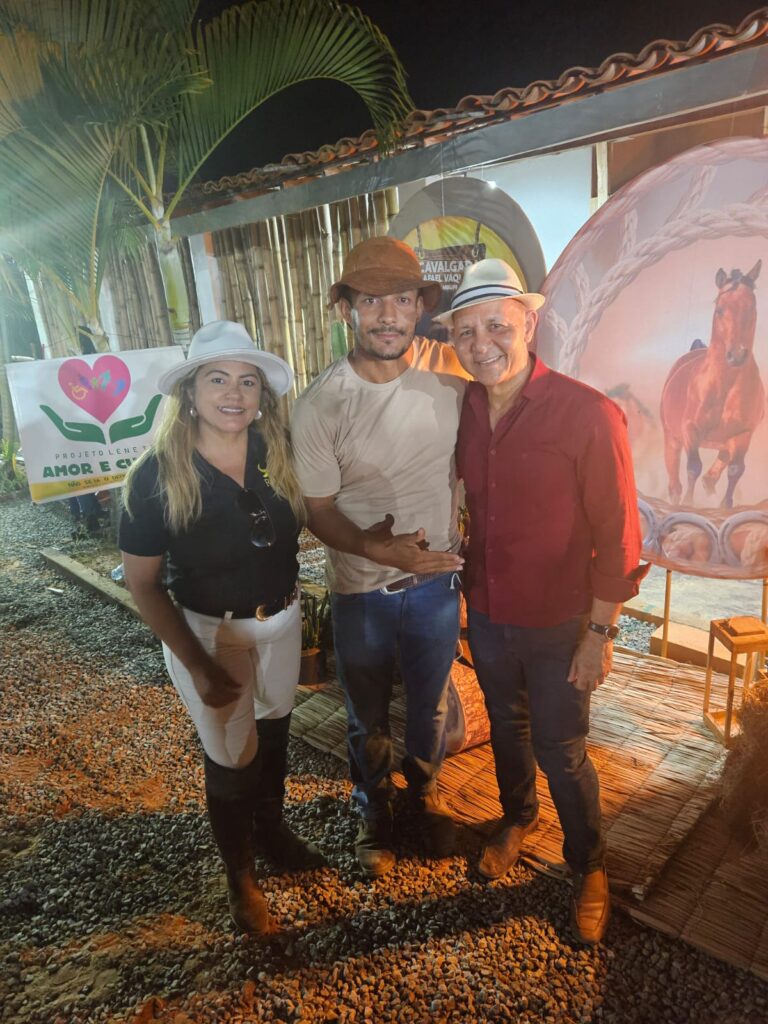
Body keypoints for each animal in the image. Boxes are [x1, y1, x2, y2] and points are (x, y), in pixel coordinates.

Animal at [660, 261, 765, 509]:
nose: (736, 355)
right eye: (720, 309)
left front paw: (725, 505)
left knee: (719, 466)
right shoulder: (690, 431)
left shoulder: (743, 434)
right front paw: (689, 504)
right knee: (674, 481)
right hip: (672, 439)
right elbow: (693, 467)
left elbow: (736, 469)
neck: (723, 389)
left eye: (752, 309)